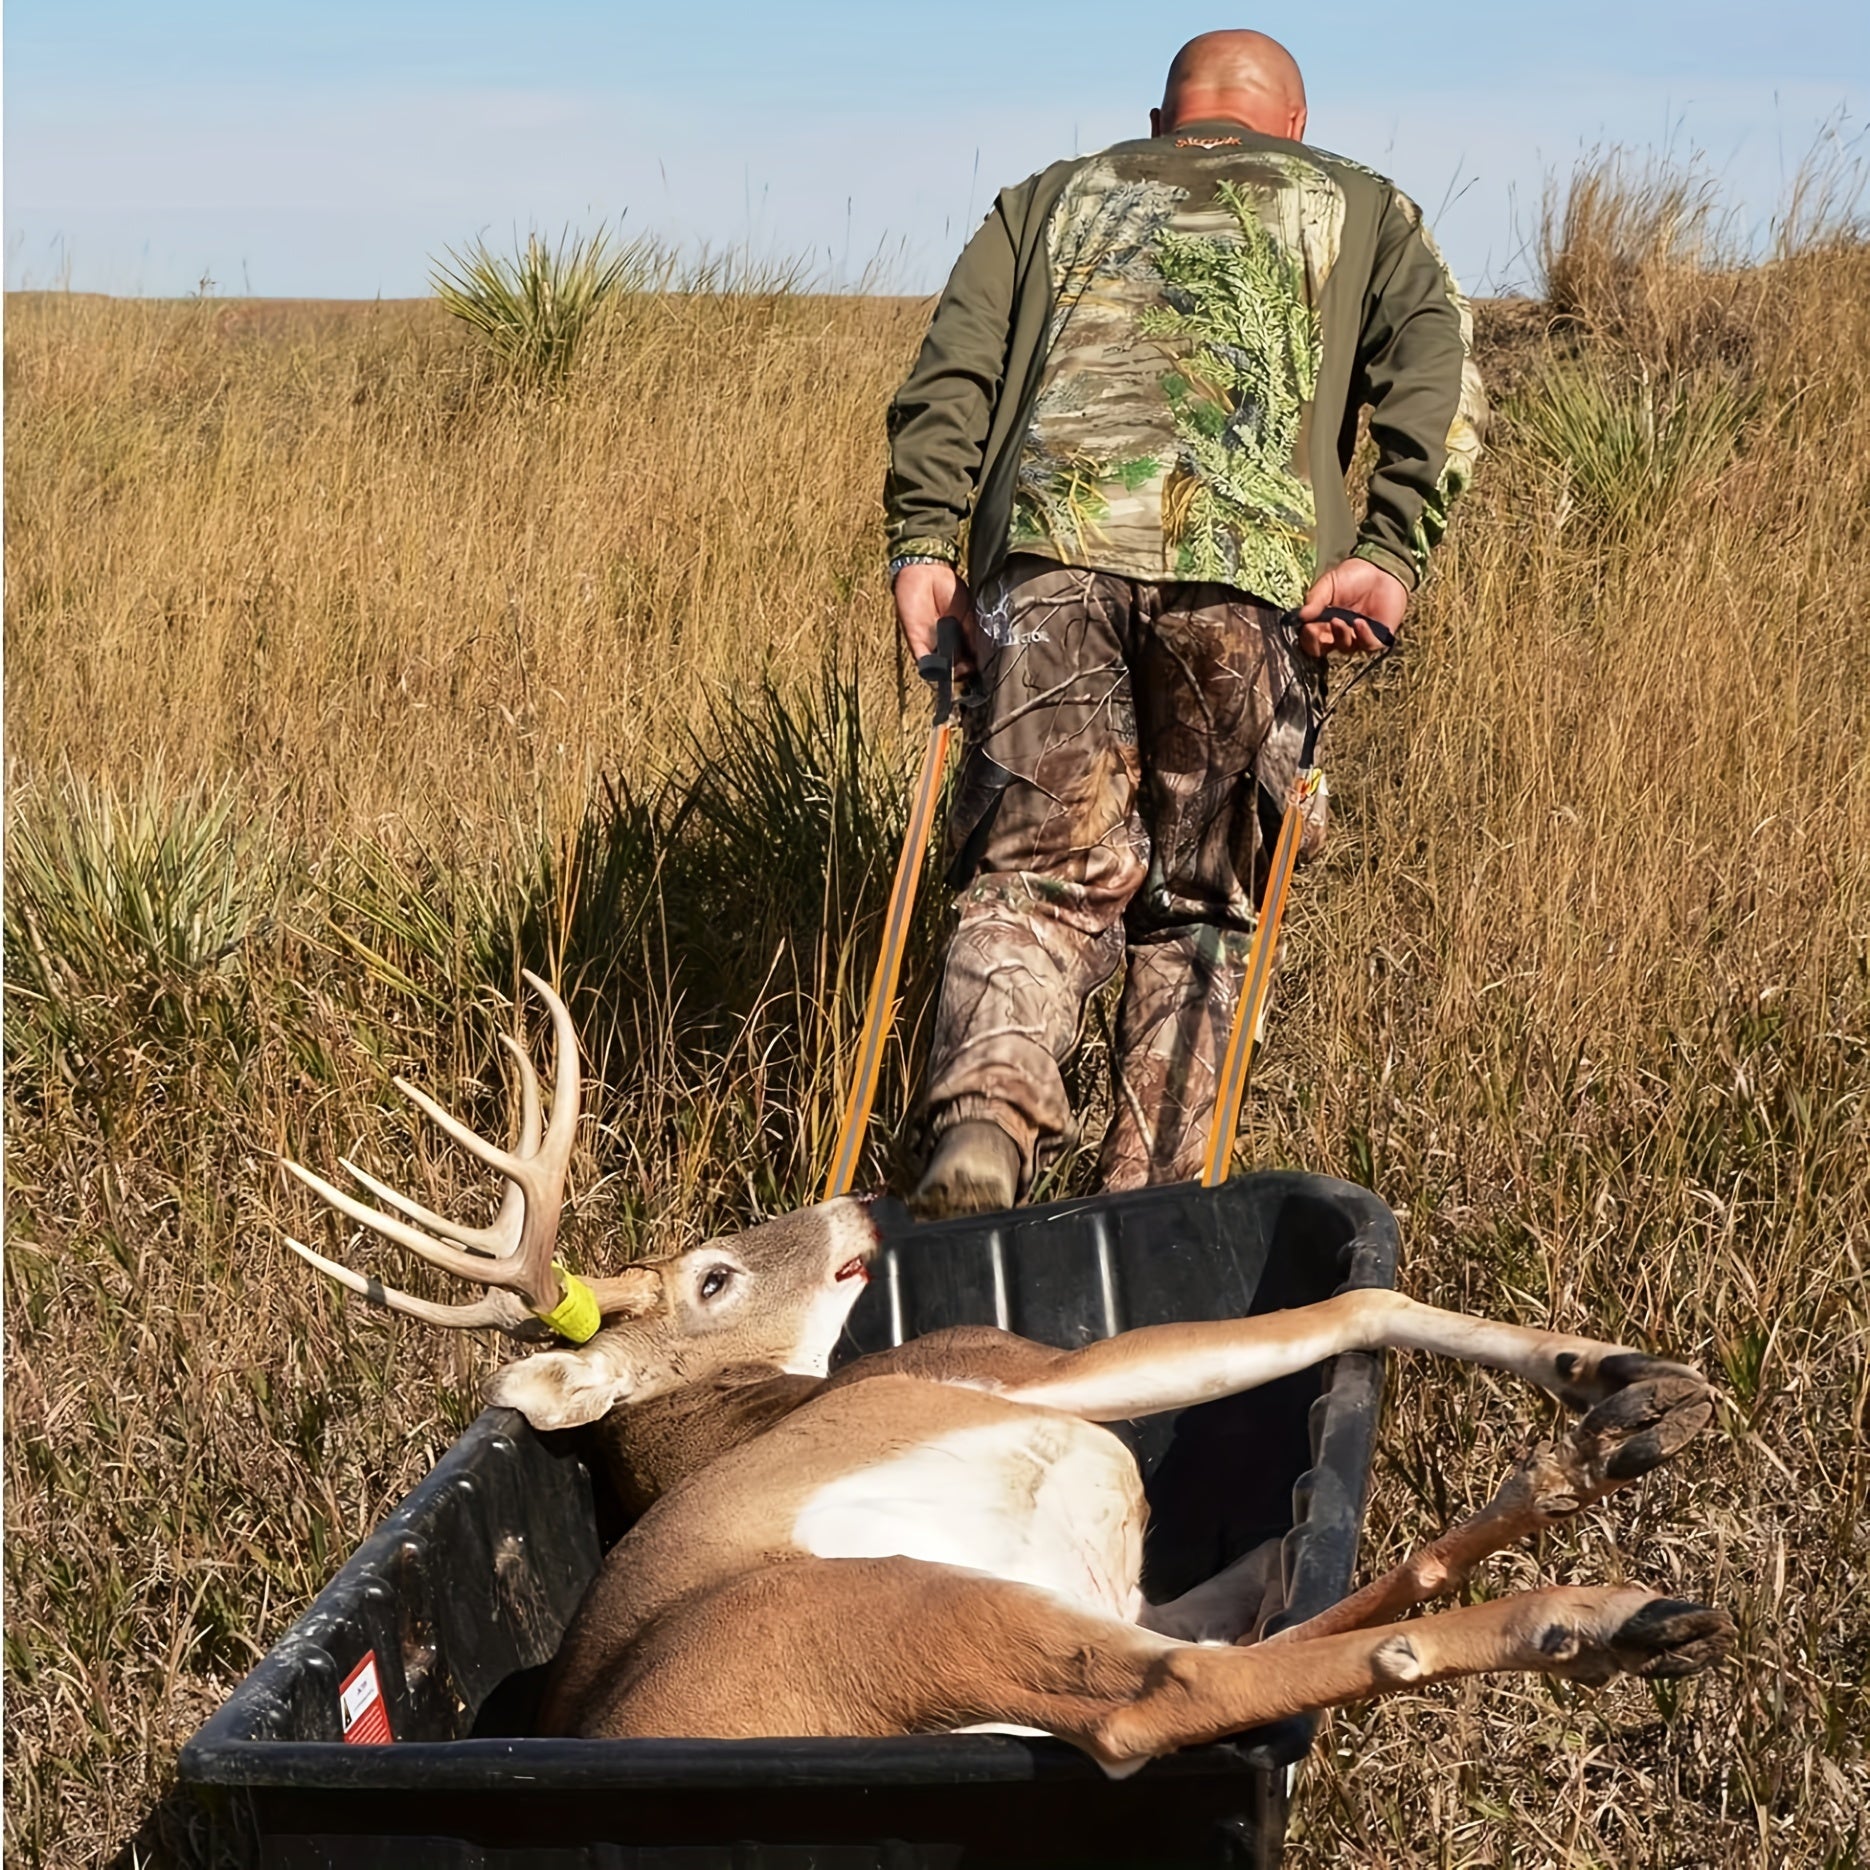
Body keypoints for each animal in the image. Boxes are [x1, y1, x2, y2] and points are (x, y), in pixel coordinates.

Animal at [284, 973, 1733, 1775]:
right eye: (712, 1275)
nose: (859, 1203)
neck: (761, 1408)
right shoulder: (1023, 1372)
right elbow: (1352, 1299)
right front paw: (1614, 1363)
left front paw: (1619, 1399)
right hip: (905, 1607)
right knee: (1174, 1697)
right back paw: (1602, 1604)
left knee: (1267, 1621)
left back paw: (1584, 1490)